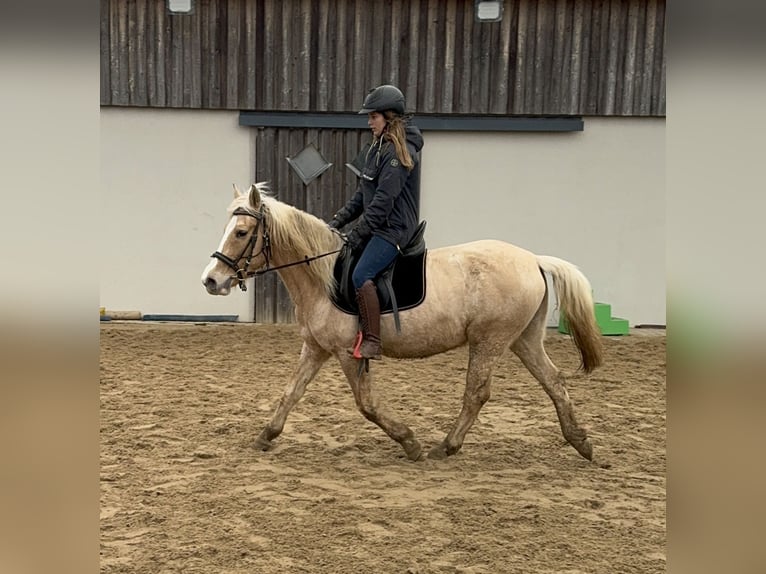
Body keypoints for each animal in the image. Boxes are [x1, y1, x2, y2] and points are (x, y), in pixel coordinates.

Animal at [202, 184, 608, 464]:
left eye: (241, 232)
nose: (211, 280)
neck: (323, 274)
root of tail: (534, 259)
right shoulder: (316, 348)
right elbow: (290, 392)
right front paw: (265, 436)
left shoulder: (348, 353)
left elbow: (366, 404)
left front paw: (409, 442)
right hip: (523, 339)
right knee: (554, 382)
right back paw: (582, 442)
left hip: (489, 340)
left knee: (477, 393)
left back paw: (446, 446)